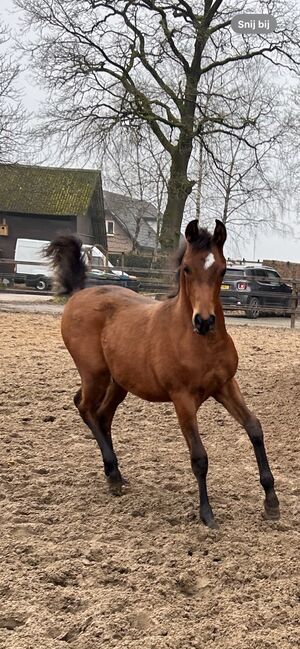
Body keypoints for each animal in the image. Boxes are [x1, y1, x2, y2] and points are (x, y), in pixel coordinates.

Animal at [45, 219, 280, 528]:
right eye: (187, 269)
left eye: (222, 269)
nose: (204, 321)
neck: (199, 342)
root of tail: (79, 293)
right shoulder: (183, 399)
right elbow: (199, 456)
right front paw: (207, 514)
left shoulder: (226, 386)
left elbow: (254, 429)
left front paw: (272, 502)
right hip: (94, 374)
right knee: (84, 407)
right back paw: (113, 472)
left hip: (119, 383)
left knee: (102, 415)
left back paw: (115, 476)